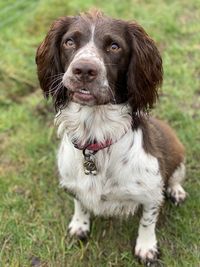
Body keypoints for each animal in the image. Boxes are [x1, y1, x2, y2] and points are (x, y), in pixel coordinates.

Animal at [36, 9, 188, 266]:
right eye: (69, 42)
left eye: (114, 46)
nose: (84, 70)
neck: (94, 138)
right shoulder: (73, 183)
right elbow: (79, 203)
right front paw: (80, 225)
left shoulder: (151, 192)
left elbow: (147, 220)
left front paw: (146, 247)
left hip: (178, 156)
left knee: (176, 177)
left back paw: (176, 191)